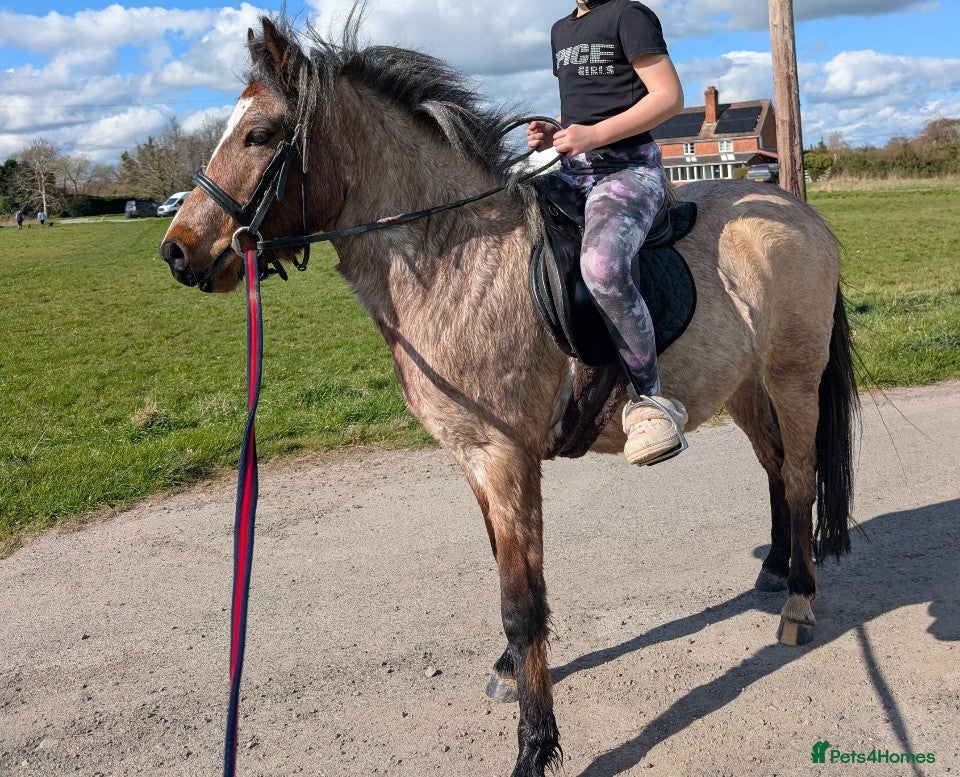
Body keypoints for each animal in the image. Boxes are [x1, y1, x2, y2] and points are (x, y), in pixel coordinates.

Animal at [159, 15, 858, 777]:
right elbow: (504, 566)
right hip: (740, 384)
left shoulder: (506, 455)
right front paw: (508, 673)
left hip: (793, 375)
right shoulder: (472, 456)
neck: (455, 259)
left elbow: (522, 602)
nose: (177, 251)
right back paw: (775, 567)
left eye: (259, 134)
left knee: (799, 475)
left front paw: (535, 745)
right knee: (774, 467)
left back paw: (799, 599)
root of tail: (801, 211)